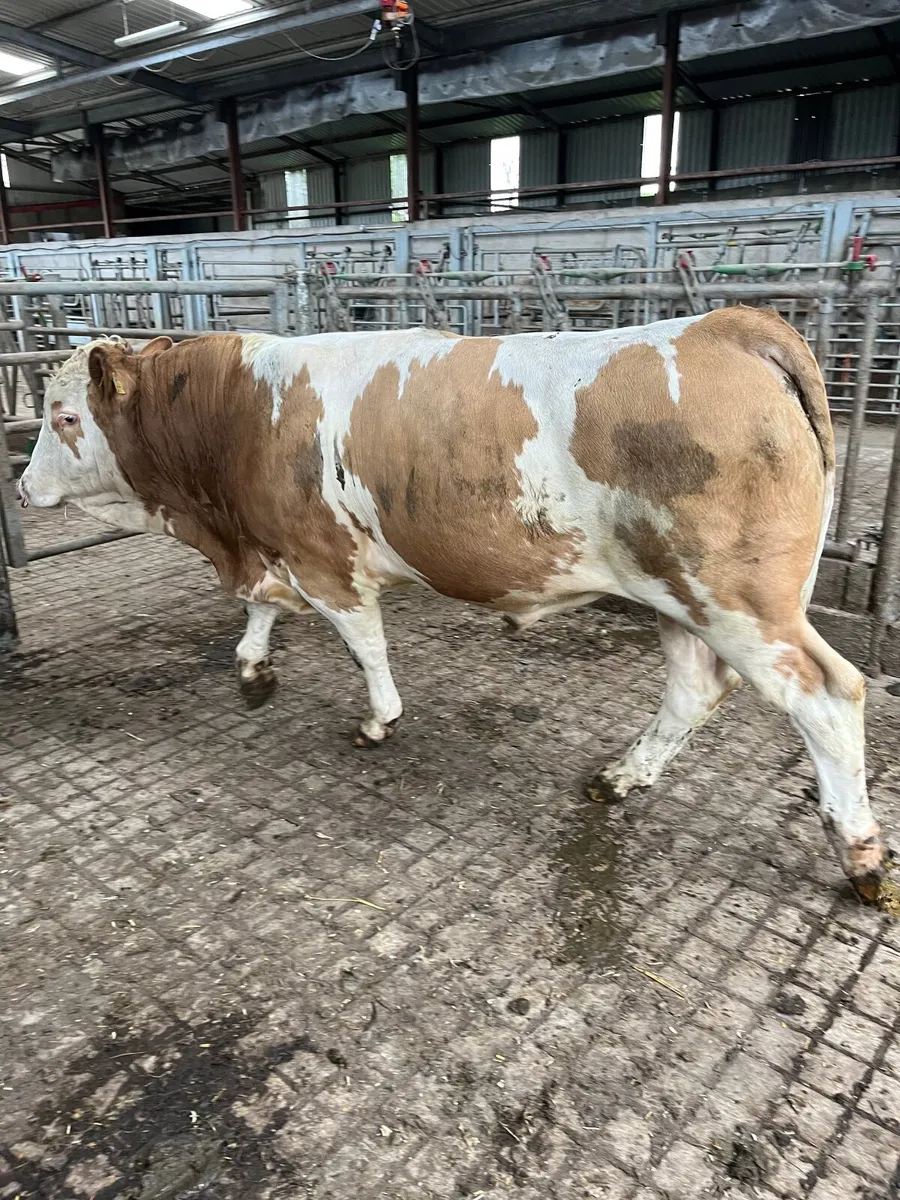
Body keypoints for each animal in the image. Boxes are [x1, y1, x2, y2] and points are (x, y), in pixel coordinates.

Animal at [17, 309, 898, 913]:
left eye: (65, 417)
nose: (22, 488)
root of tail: (727, 325)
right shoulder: (273, 550)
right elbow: (265, 612)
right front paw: (253, 664)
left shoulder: (322, 556)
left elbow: (364, 643)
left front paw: (379, 718)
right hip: (681, 596)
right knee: (695, 687)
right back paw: (623, 776)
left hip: (740, 600)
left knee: (828, 695)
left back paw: (859, 856)